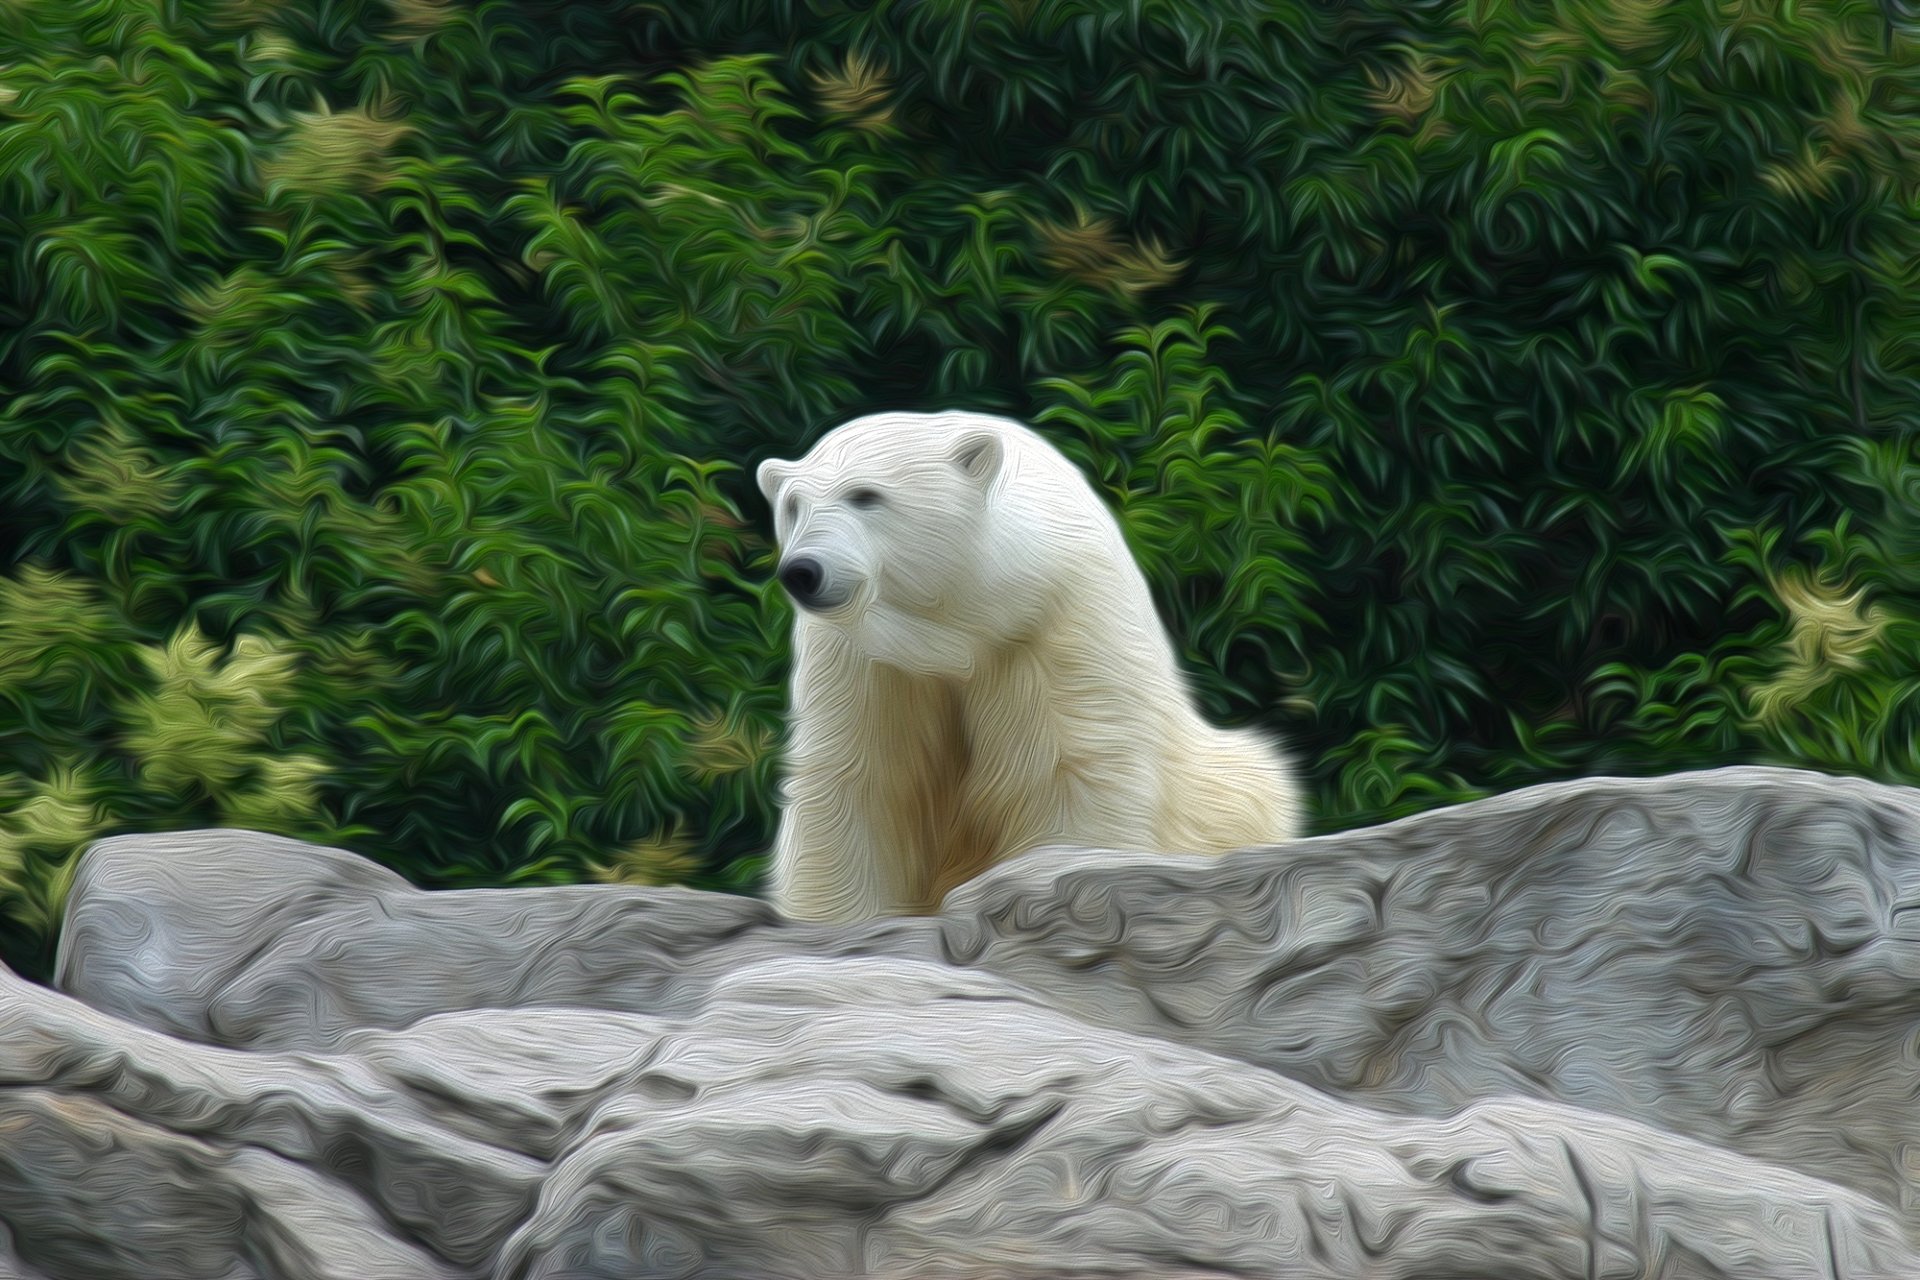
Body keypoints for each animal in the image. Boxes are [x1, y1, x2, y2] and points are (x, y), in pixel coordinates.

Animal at [755, 409, 1304, 923]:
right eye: (793, 506)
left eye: (865, 495)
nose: (803, 571)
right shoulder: (867, 658)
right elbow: (864, 777)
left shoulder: (1055, 623)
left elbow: (1065, 766)